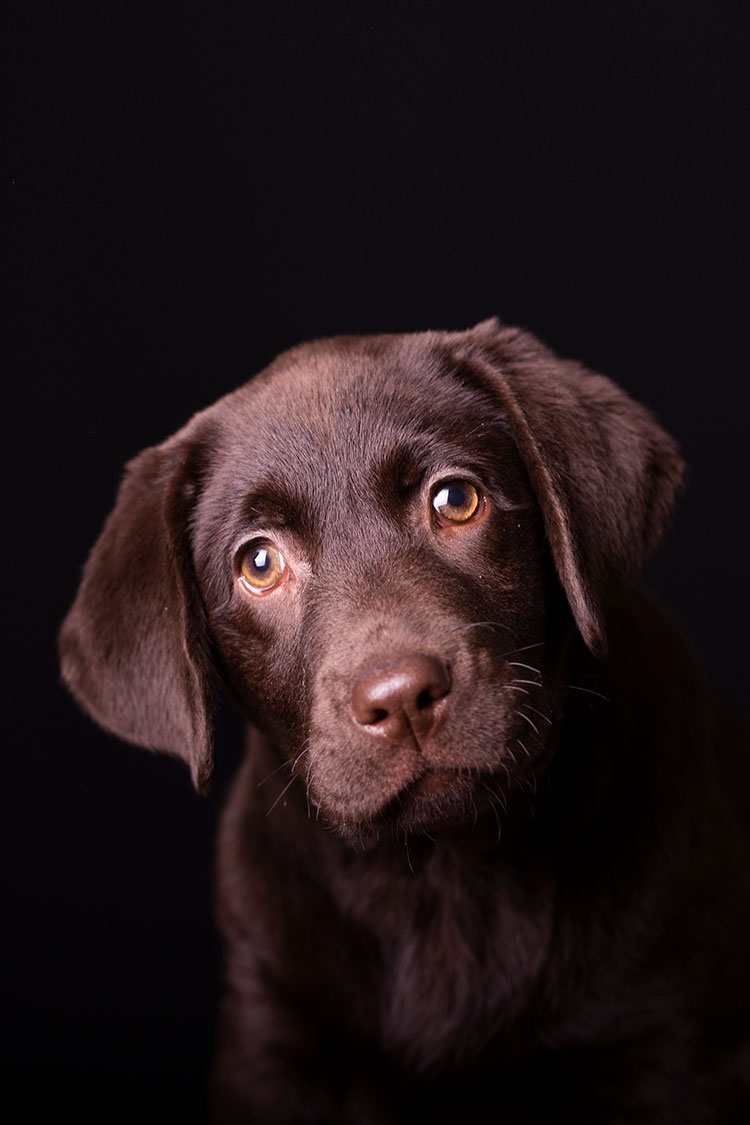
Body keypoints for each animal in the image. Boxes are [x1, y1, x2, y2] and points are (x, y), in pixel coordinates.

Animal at [60, 319, 750, 1125]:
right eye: (258, 563)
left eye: (455, 499)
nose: (400, 697)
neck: (441, 873)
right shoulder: (272, 1037)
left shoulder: (671, 1043)